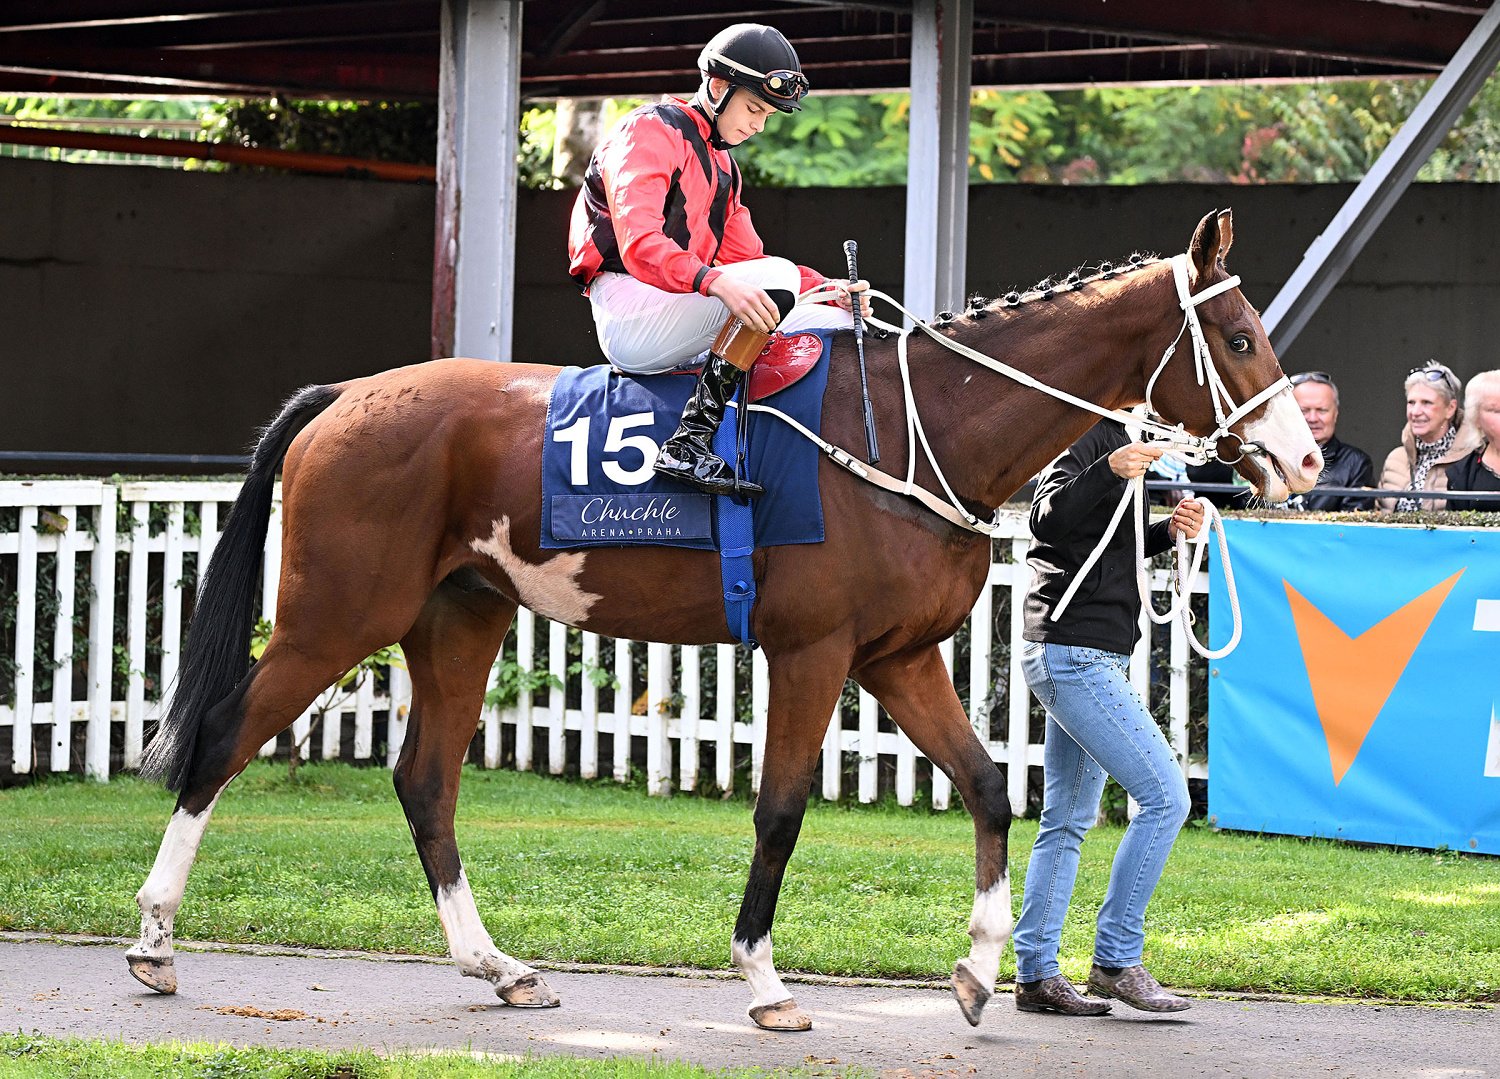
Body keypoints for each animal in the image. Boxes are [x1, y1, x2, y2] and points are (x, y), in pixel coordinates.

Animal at [132, 208, 1326, 1032]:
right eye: (1237, 333)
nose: (1307, 458)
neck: (915, 428)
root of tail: (345, 394)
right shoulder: (813, 654)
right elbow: (782, 810)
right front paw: (763, 980)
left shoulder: (899, 658)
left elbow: (990, 786)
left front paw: (980, 969)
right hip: (335, 617)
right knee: (221, 738)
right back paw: (152, 939)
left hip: (459, 622)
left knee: (425, 780)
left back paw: (499, 966)